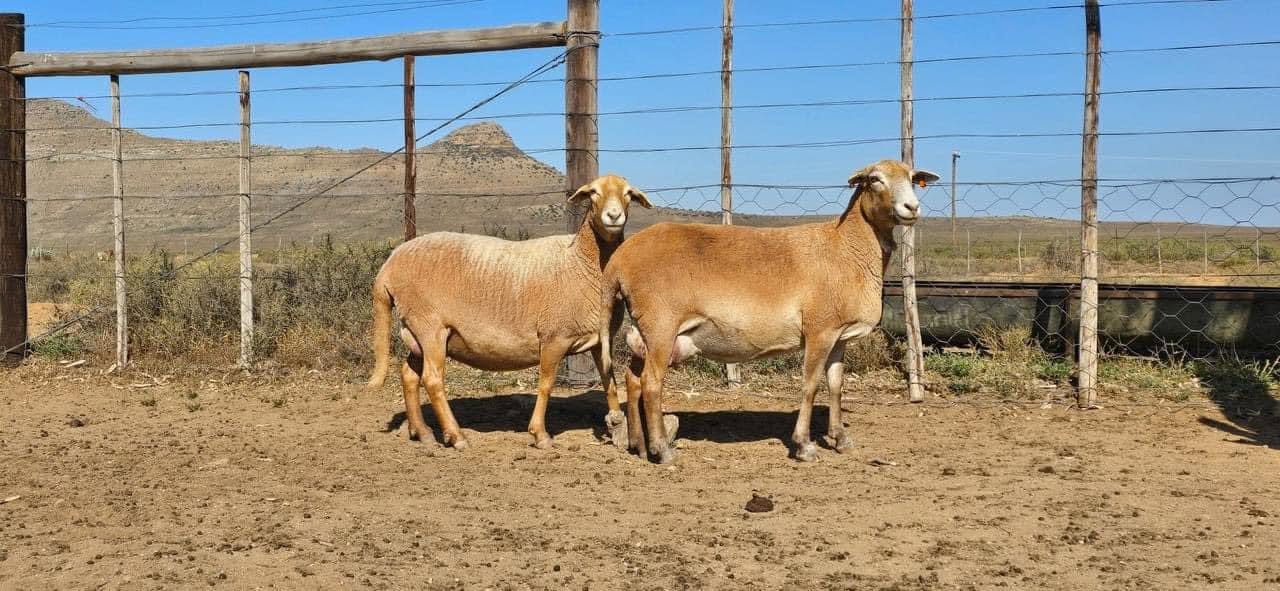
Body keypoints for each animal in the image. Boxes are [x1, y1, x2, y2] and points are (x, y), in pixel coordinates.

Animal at [367, 174, 652, 450]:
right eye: (593, 192)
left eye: (628, 193)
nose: (613, 216)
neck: (581, 261)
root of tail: (389, 266)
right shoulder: (554, 336)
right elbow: (546, 384)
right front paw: (540, 434)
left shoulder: (599, 338)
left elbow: (608, 379)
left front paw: (616, 423)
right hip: (429, 326)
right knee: (432, 380)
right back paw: (456, 436)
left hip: (416, 331)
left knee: (409, 375)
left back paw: (422, 432)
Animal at [599, 159, 939, 463]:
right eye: (875, 180)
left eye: (912, 178)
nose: (912, 207)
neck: (847, 248)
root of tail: (620, 261)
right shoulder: (820, 329)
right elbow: (810, 385)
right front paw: (803, 446)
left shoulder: (839, 336)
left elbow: (835, 386)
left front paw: (840, 439)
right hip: (661, 324)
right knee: (652, 383)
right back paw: (662, 450)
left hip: (647, 330)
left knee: (633, 379)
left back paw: (639, 445)